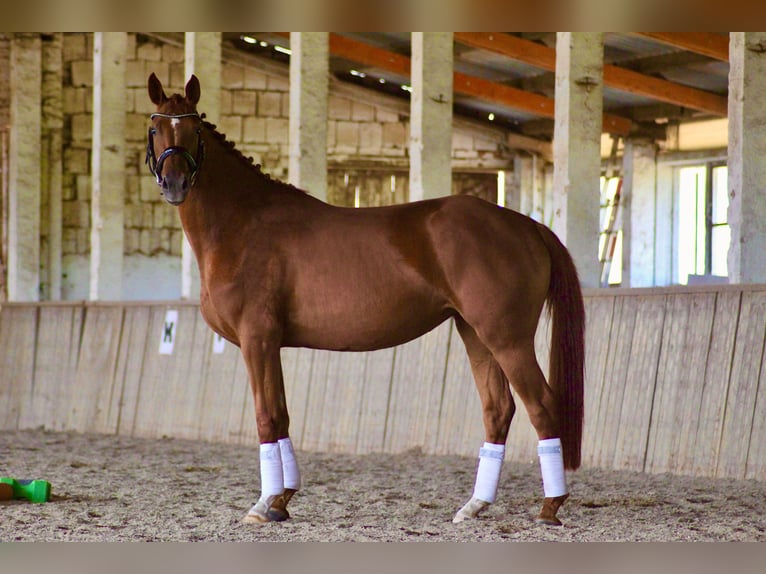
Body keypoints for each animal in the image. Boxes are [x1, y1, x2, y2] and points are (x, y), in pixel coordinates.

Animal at [147, 74, 584, 528]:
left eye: (193, 129)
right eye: (155, 128)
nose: (175, 184)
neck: (244, 224)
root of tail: (526, 225)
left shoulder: (257, 339)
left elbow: (267, 417)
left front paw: (264, 504)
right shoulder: (270, 344)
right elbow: (281, 414)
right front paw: (283, 500)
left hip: (508, 339)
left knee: (542, 407)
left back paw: (550, 506)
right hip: (476, 334)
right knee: (498, 410)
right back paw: (474, 506)